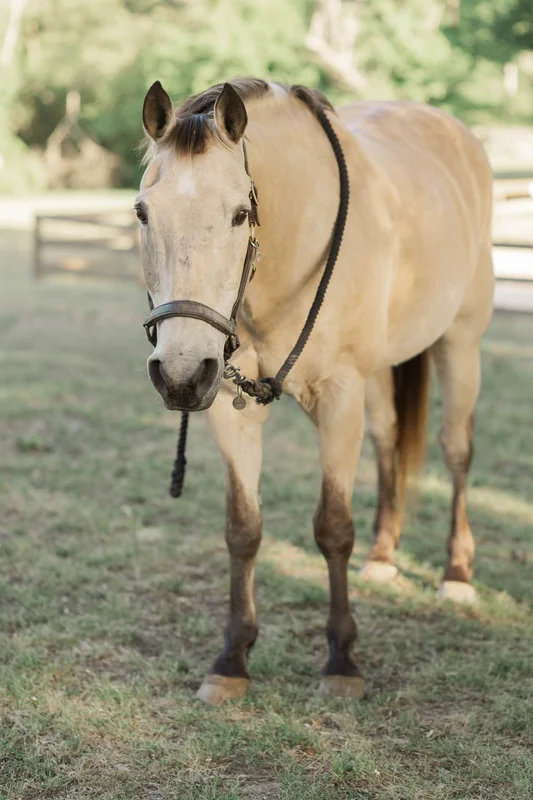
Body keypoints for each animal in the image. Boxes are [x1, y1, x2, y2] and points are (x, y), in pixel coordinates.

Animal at [136, 78, 494, 705]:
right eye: (142, 213)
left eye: (240, 214)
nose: (178, 374)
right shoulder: (228, 407)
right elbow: (243, 530)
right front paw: (232, 660)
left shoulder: (339, 396)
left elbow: (332, 527)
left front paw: (342, 661)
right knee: (388, 441)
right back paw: (383, 556)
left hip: (461, 343)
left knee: (455, 450)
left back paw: (456, 574)